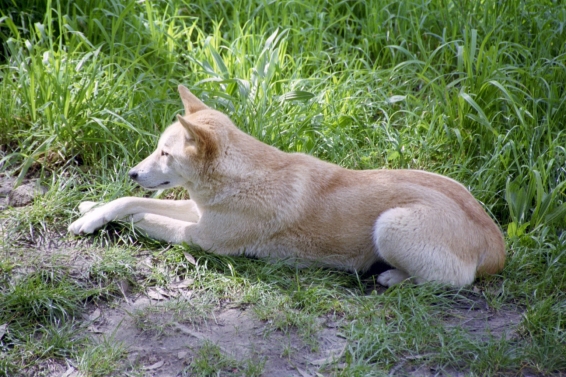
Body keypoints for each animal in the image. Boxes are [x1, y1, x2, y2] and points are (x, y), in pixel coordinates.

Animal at [69, 84, 508, 284]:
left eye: (164, 153)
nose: (132, 173)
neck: (242, 176)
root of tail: (497, 243)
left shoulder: (202, 237)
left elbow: (143, 216)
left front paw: (107, 219)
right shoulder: (198, 210)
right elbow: (127, 202)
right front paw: (92, 212)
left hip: (391, 225)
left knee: (453, 281)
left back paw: (392, 276)